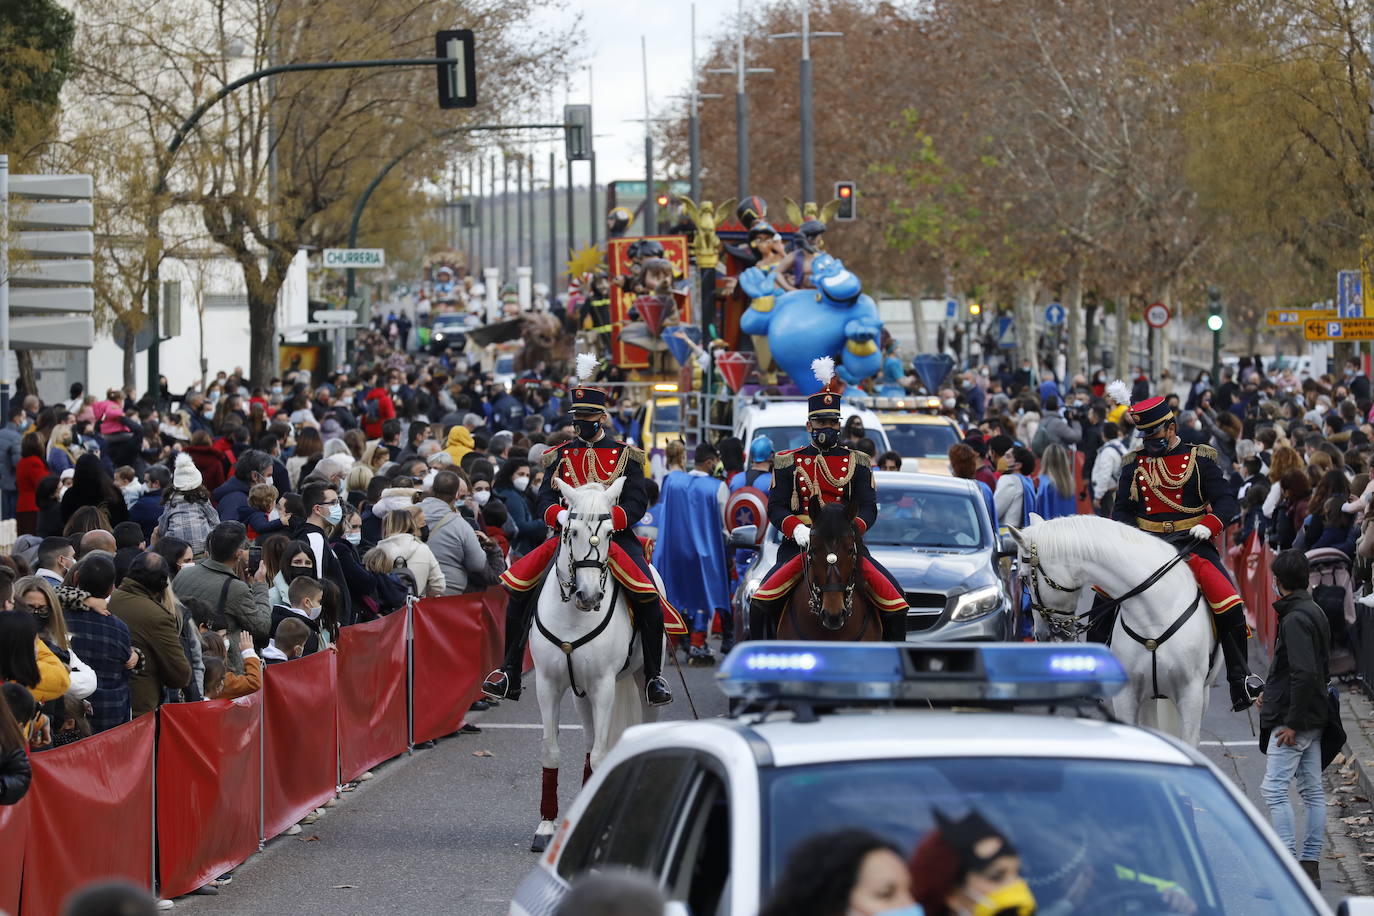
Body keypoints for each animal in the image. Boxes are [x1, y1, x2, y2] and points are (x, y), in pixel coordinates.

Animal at [530, 480, 648, 851]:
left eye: (610, 533)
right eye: (572, 531)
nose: (590, 596)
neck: (573, 616)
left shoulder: (604, 687)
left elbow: (599, 755)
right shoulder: (548, 685)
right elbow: (551, 752)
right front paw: (546, 827)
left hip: (640, 680)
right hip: (579, 692)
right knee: (588, 740)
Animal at [1011, 516, 1225, 747]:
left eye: (1024, 578)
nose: (1041, 634)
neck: (1157, 609)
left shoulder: (1191, 696)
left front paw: (1201, 530)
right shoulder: (1127, 696)